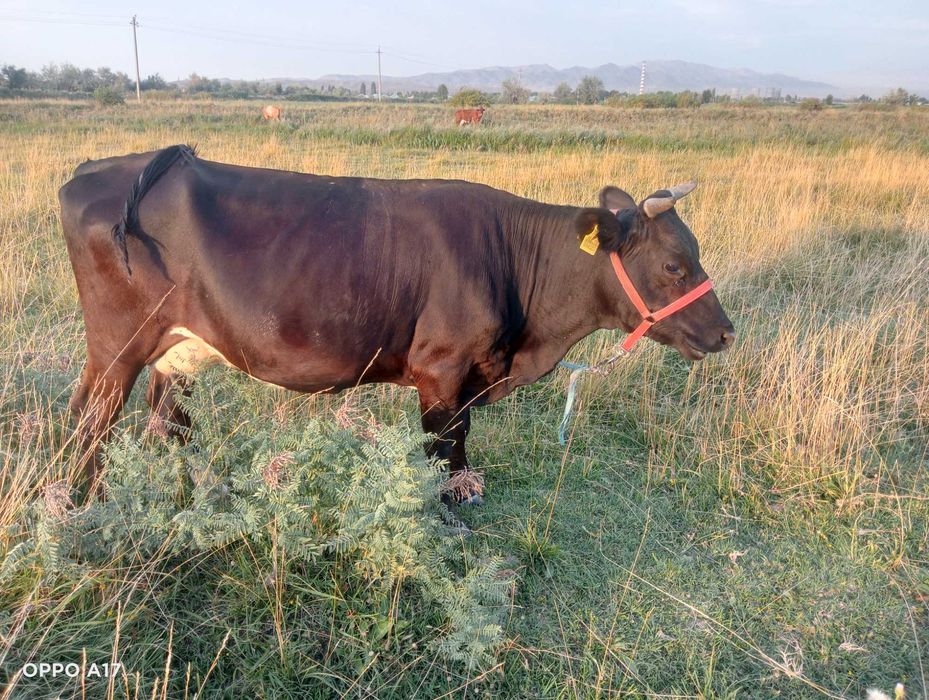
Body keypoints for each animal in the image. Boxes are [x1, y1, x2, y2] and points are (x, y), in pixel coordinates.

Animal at [58, 145, 735, 506]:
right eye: (674, 265)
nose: (727, 333)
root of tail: (104, 168)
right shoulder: (441, 373)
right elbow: (445, 456)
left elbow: (460, 452)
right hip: (116, 348)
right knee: (87, 423)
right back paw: (80, 508)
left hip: (178, 352)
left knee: (167, 423)